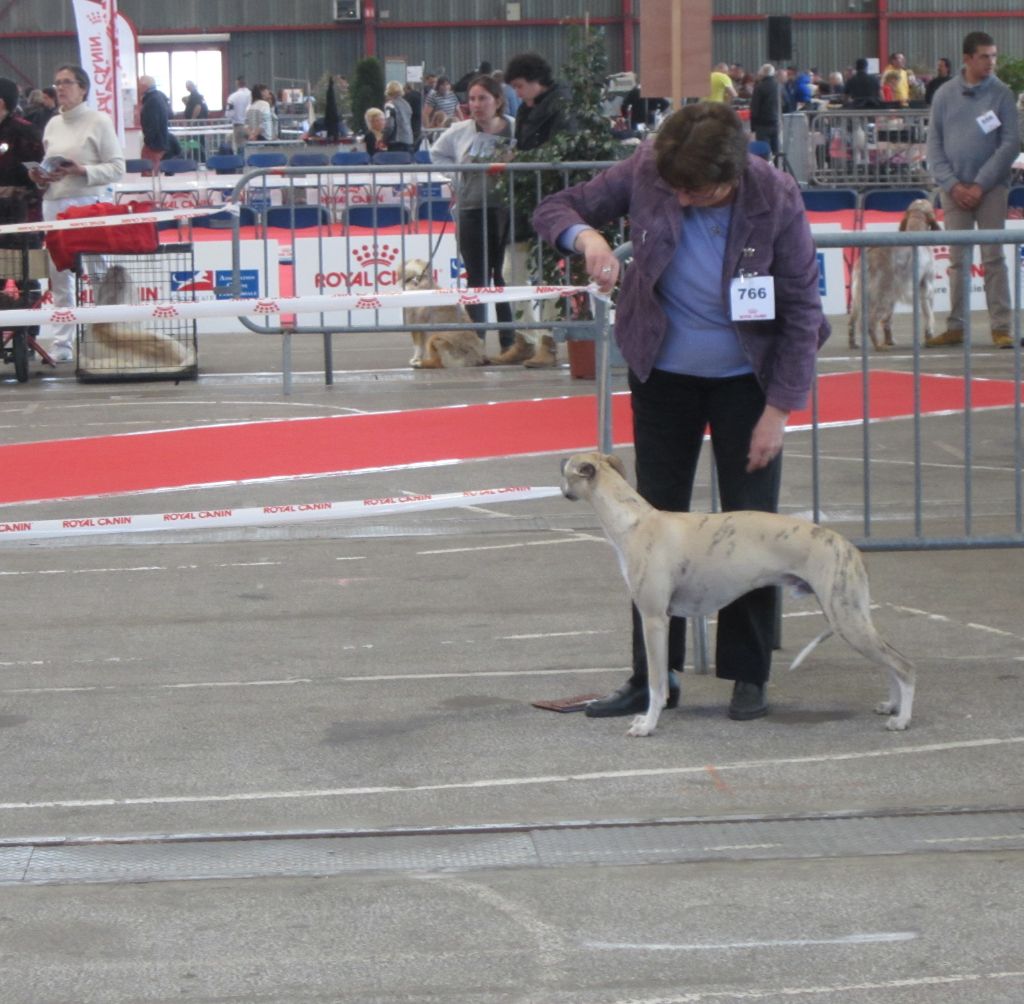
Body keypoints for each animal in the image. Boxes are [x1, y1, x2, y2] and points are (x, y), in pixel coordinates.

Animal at [565, 454, 917, 737]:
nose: (562, 486)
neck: (634, 521)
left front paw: (647, 724)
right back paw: (891, 706)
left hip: (846, 618)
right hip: (853, 615)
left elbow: (657, 683)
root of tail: (851, 547)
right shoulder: (661, 617)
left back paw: (902, 719)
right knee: (890, 661)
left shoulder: (654, 619)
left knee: (903, 665)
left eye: (566, 469)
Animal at [847, 197, 937, 350]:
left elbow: (887, 321)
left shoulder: (895, 297)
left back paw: (854, 343)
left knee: (852, 321)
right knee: (870, 323)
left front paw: (890, 340)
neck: (915, 229)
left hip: (860, 298)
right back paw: (878, 346)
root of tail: (868, 258)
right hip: (882, 296)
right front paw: (929, 336)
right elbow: (929, 315)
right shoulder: (926, 285)